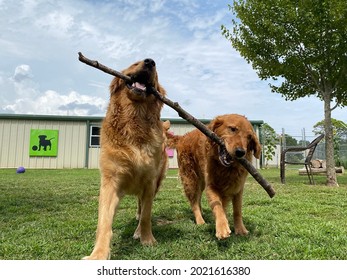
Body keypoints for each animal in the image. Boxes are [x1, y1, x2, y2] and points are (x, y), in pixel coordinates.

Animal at [83, 58, 168, 260]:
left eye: (156, 70)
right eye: (135, 63)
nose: (150, 62)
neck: (134, 120)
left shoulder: (149, 181)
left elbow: (146, 214)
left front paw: (147, 239)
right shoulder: (110, 181)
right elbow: (104, 222)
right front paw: (98, 254)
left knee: (143, 207)